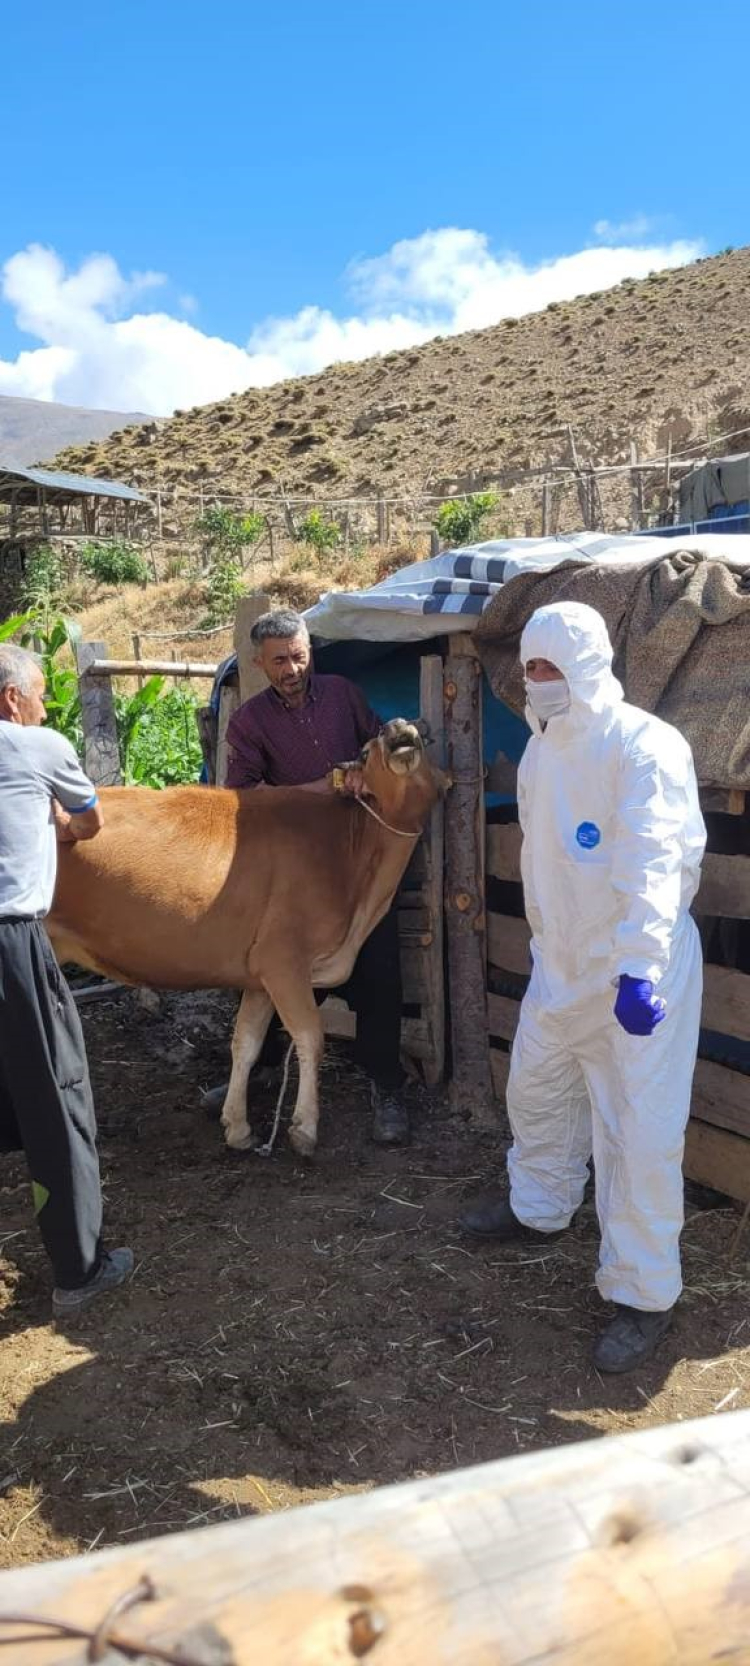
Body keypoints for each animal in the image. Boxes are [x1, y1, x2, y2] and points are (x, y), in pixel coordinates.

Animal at [48, 716, 446, 1159]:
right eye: (364, 751)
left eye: (424, 737)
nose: (397, 727)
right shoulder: (283, 960)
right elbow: (311, 1036)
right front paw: (304, 1129)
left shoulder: (259, 974)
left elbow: (247, 1042)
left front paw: (237, 1126)